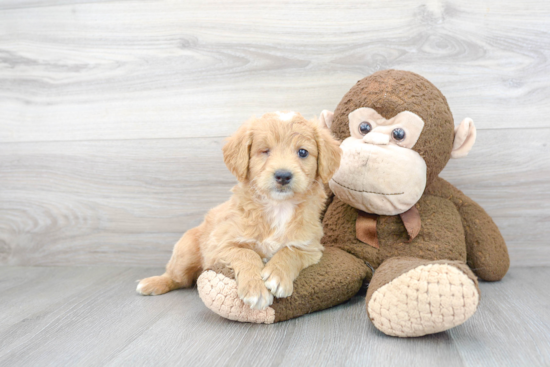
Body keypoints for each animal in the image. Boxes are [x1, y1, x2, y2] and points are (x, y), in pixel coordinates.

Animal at [136, 112, 342, 310]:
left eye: (302, 152)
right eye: (265, 151)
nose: (283, 176)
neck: (277, 207)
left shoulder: (311, 248)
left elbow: (290, 251)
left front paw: (277, 274)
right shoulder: (220, 245)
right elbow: (246, 254)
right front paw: (255, 289)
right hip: (185, 253)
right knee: (177, 277)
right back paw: (151, 283)